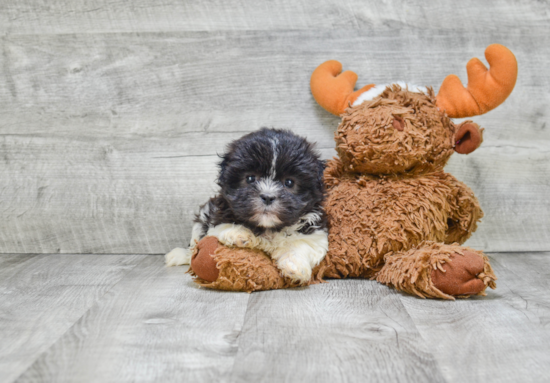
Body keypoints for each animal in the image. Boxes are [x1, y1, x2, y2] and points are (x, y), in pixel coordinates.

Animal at [166, 129, 330, 284]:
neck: (267, 228)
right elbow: (222, 226)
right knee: (193, 247)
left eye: (289, 182)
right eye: (250, 178)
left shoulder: (315, 231)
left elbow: (303, 244)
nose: (268, 196)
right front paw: (238, 233)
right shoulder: (217, 215)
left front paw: (294, 265)